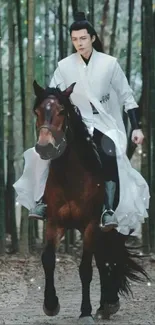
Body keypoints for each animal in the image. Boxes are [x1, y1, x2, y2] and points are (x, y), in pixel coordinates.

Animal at [32, 80, 148, 322]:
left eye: (62, 111)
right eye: (37, 112)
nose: (45, 147)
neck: (70, 176)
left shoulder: (91, 225)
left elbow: (85, 268)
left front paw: (85, 312)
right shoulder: (55, 223)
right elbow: (48, 259)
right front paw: (51, 304)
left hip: (105, 228)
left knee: (106, 259)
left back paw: (108, 303)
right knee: (103, 259)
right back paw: (105, 305)